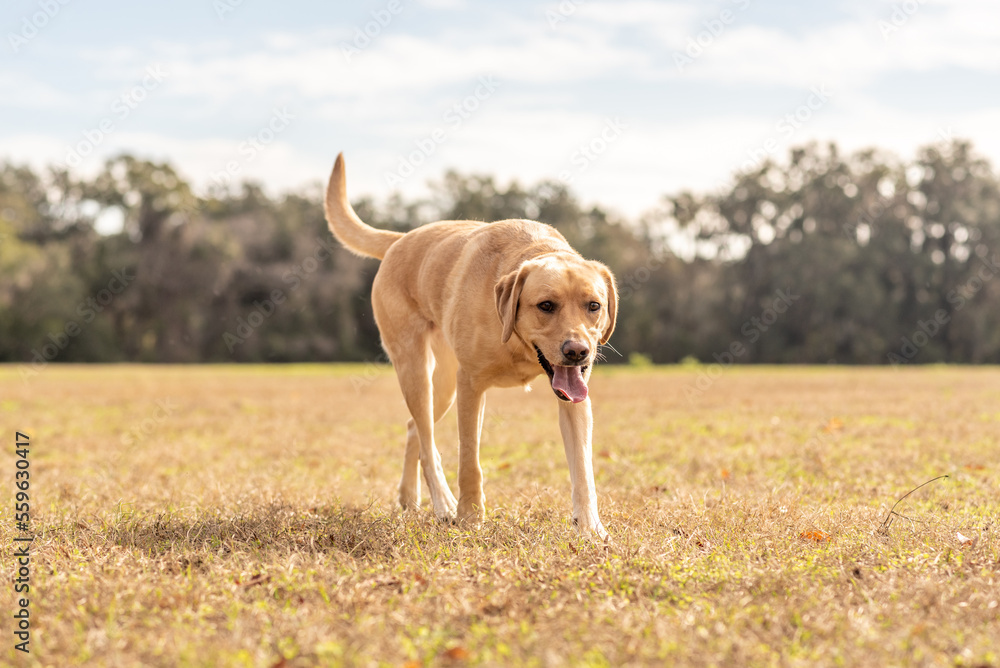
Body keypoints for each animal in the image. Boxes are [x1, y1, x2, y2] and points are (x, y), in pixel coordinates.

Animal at [324, 155, 612, 536]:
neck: (515, 342)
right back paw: (444, 504)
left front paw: (590, 527)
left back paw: (410, 498)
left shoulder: (574, 398)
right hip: (416, 369)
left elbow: (583, 469)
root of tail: (402, 239)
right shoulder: (471, 386)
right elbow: (469, 460)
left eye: (593, 306)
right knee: (428, 440)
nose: (578, 351)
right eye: (546, 305)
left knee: (415, 429)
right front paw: (471, 517)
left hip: (444, 385)